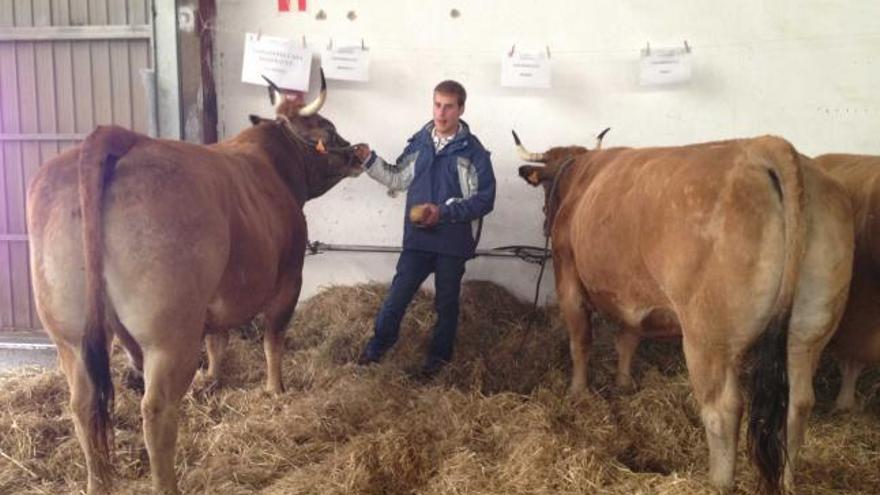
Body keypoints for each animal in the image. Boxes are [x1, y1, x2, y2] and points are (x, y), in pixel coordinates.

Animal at [24, 71, 360, 494]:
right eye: (327, 129)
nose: (359, 152)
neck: (275, 166)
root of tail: (114, 137)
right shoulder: (289, 278)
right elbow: (273, 338)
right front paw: (275, 389)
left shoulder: (217, 299)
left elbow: (218, 339)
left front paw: (213, 378)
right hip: (170, 337)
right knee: (157, 411)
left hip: (69, 338)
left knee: (84, 407)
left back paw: (97, 483)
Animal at [516, 133, 852, 495]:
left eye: (545, 185)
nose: (545, 220)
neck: (580, 179)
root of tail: (766, 144)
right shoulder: (632, 294)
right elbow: (627, 339)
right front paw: (623, 383)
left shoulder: (569, 278)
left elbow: (580, 341)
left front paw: (577, 392)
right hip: (808, 334)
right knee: (799, 403)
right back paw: (788, 481)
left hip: (708, 340)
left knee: (723, 409)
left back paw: (718, 482)